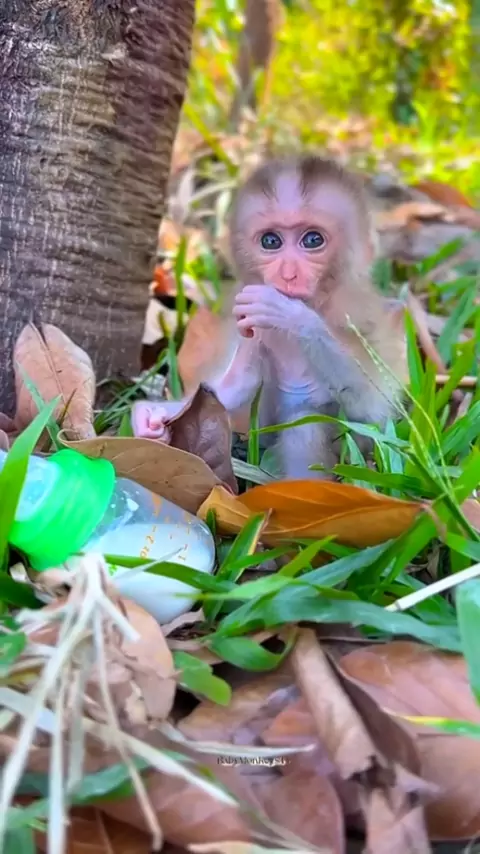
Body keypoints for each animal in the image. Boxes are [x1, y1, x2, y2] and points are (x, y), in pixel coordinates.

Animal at [132, 154, 407, 480]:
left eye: (312, 240)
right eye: (271, 242)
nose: (287, 274)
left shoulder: (356, 313)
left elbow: (369, 407)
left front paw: (291, 314)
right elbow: (232, 388)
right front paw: (156, 414)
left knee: (307, 424)